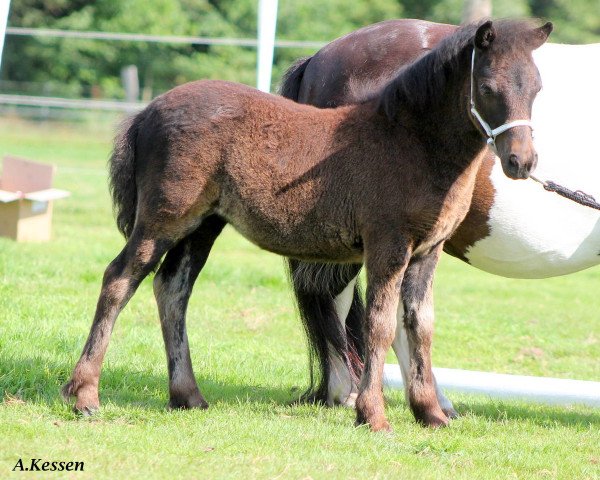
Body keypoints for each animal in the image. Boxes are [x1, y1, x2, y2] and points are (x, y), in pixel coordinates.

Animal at [63, 19, 552, 432]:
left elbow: (420, 325)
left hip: (202, 226)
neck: (411, 143)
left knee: (172, 289)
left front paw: (430, 414)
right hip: (164, 219)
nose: (521, 162)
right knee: (119, 279)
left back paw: (188, 396)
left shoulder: (426, 252)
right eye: (487, 87)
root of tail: (146, 112)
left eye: (537, 87)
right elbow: (379, 325)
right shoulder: (387, 244)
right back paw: (85, 396)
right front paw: (373, 416)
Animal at [282, 17, 600, 408]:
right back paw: (349, 391)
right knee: (337, 299)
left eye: (538, 89)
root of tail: (319, 59)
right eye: (487, 89)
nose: (523, 162)